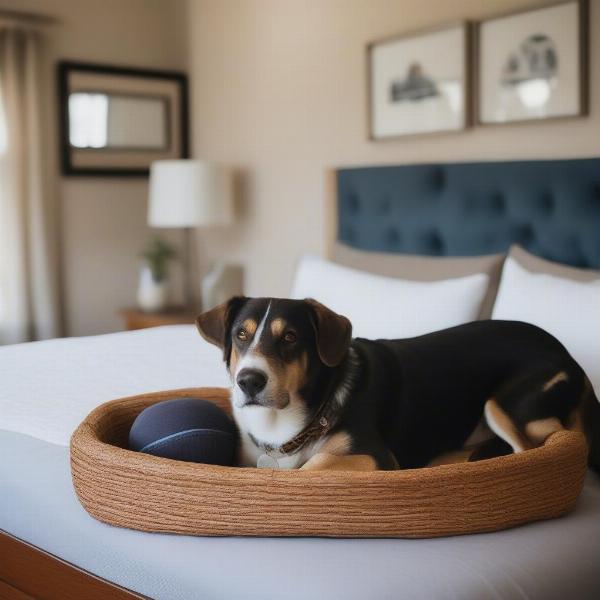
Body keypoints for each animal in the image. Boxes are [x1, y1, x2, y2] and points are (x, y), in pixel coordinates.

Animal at [197, 298, 600, 472]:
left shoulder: (371, 454)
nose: (249, 381)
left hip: (506, 405)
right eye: (241, 335)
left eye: (291, 337)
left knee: (543, 442)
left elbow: (312, 469)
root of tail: (568, 355)